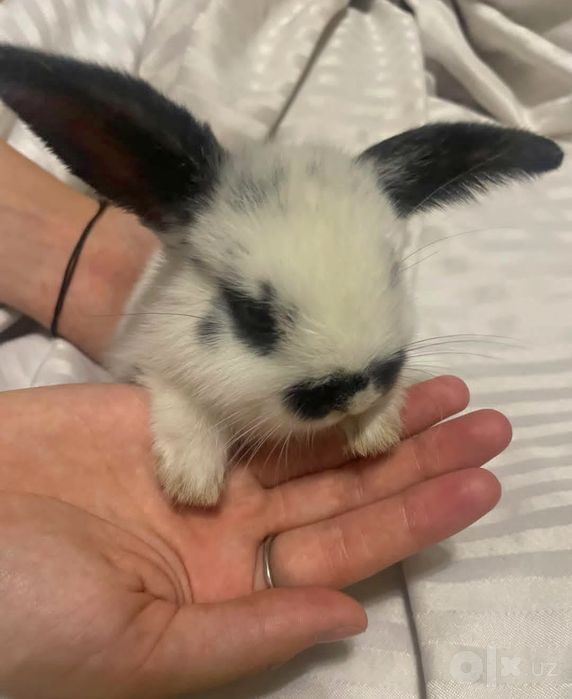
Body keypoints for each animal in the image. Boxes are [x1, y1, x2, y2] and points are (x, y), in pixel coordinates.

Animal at [0, 45, 563, 505]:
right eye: (252, 313)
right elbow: (180, 399)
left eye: (393, 274)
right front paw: (194, 483)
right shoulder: (149, 358)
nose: (352, 392)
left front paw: (376, 431)